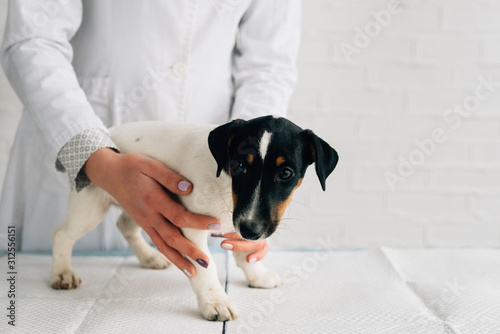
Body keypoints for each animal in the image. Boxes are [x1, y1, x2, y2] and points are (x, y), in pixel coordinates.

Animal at [50, 115, 338, 320]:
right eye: (240, 165)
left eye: (286, 173)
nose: (251, 230)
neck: (223, 182)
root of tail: (108, 133)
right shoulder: (191, 227)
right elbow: (204, 267)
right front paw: (216, 301)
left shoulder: (238, 219)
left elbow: (244, 251)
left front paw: (257, 274)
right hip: (94, 203)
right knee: (62, 234)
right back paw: (63, 272)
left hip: (137, 200)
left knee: (125, 225)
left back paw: (149, 257)